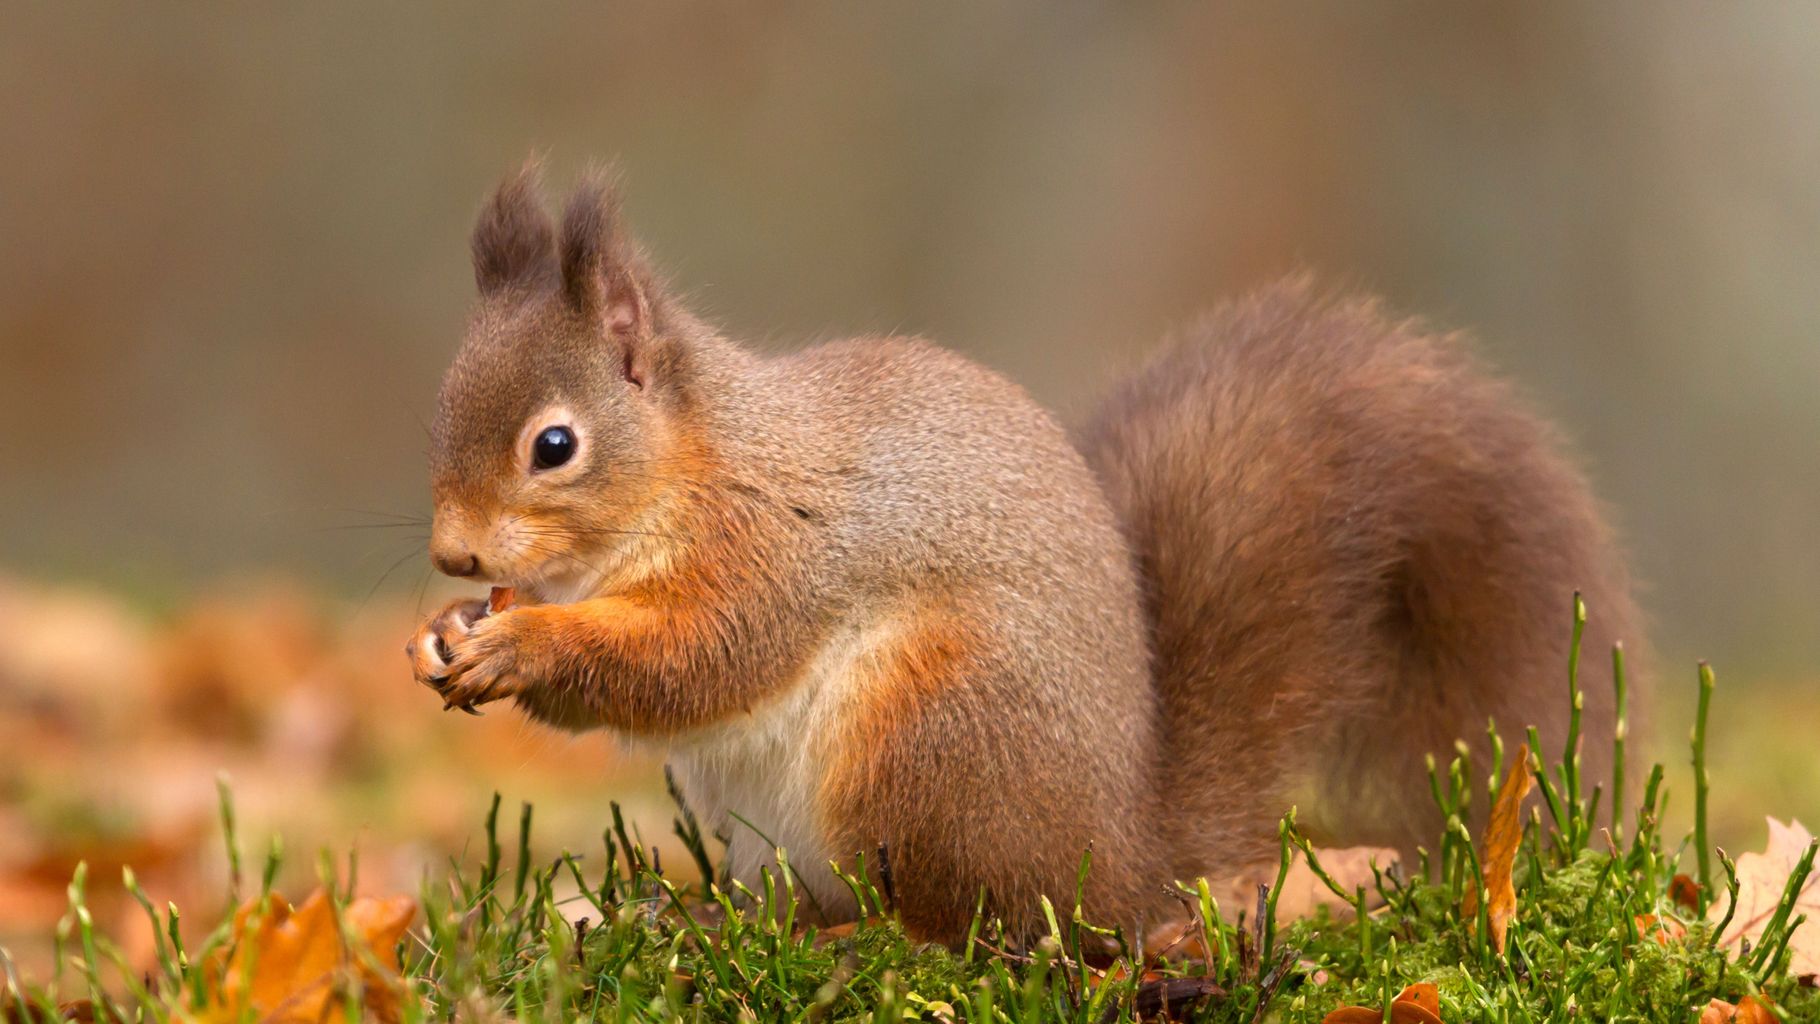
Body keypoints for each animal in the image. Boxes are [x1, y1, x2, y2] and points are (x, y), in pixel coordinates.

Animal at [405, 166, 1645, 945]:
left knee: (972, 926)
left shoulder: (772, 550)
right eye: (440, 411)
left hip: (924, 735)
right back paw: (717, 914)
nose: (453, 556)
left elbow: (699, 657)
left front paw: (520, 644)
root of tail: (1123, 855)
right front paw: (441, 637)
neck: (690, 466)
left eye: (553, 445)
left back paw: (859, 944)